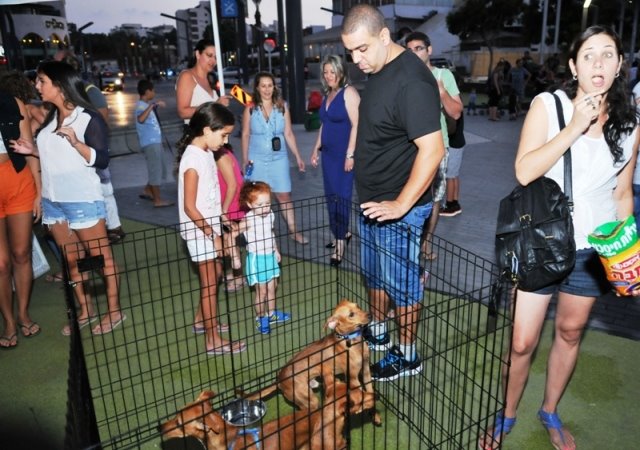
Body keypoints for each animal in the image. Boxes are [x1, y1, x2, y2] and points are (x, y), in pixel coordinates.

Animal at [237, 299, 379, 423]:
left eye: (358, 306)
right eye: (351, 315)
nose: (370, 314)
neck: (350, 340)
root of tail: (279, 380)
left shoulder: (366, 371)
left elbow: (370, 390)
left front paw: (375, 415)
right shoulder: (353, 378)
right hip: (310, 400)